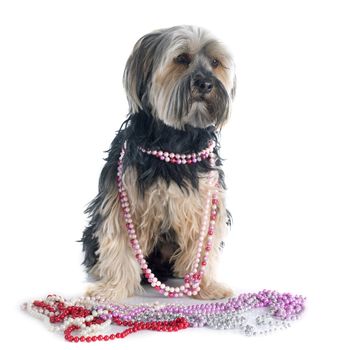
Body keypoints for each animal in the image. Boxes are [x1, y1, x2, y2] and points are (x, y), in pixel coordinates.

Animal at [80, 26, 237, 302]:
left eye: (216, 63)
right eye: (182, 58)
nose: (206, 83)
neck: (175, 140)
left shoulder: (205, 202)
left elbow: (203, 246)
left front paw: (208, 287)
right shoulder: (121, 200)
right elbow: (120, 244)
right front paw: (112, 289)